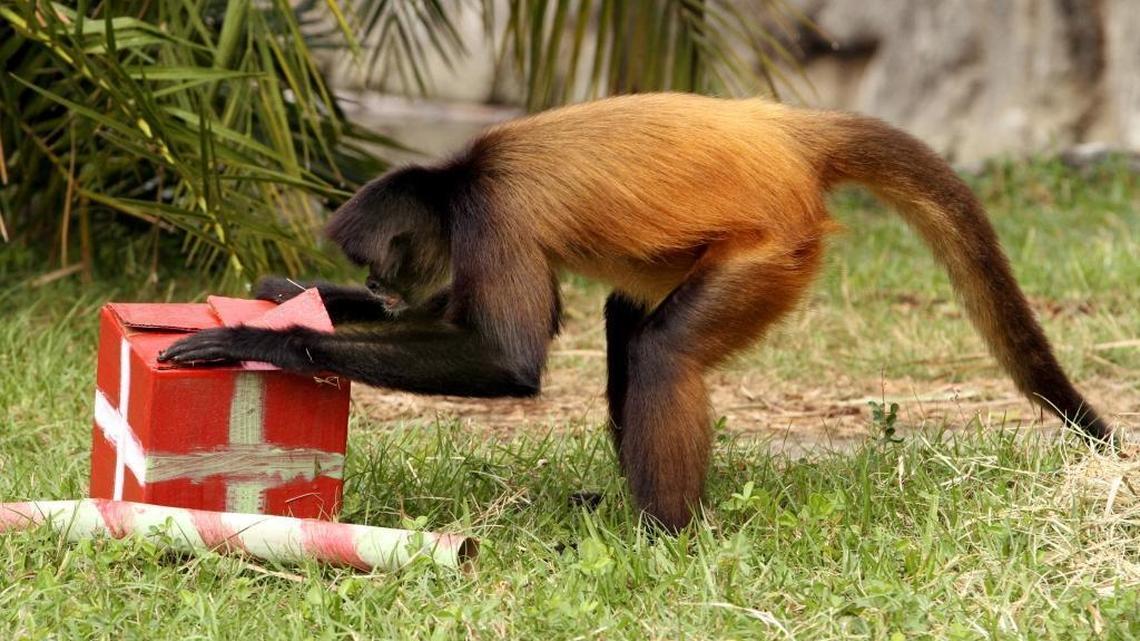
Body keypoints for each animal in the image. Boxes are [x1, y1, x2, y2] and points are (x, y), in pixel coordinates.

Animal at [160, 92, 1111, 531]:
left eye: (382, 259)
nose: (386, 293)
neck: (461, 175)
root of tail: (785, 130)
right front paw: (288, 297)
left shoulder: (491, 214)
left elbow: (513, 357)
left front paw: (265, 339)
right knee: (632, 328)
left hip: (774, 244)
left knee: (660, 351)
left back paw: (664, 530)